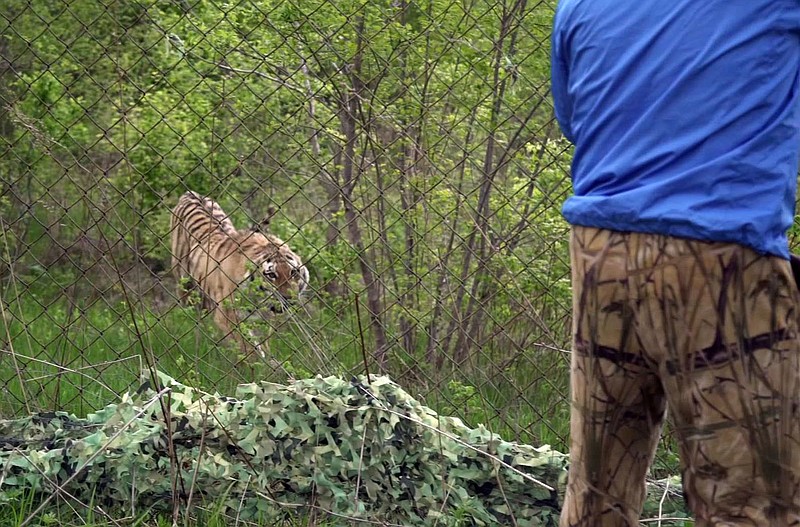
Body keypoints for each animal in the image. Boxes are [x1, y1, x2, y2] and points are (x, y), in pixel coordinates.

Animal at [169, 190, 310, 358]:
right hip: (184, 283)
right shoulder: (229, 316)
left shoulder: (261, 320)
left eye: (293, 272)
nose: (289, 298)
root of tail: (189, 193)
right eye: (271, 275)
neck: (259, 301)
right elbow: (250, 349)